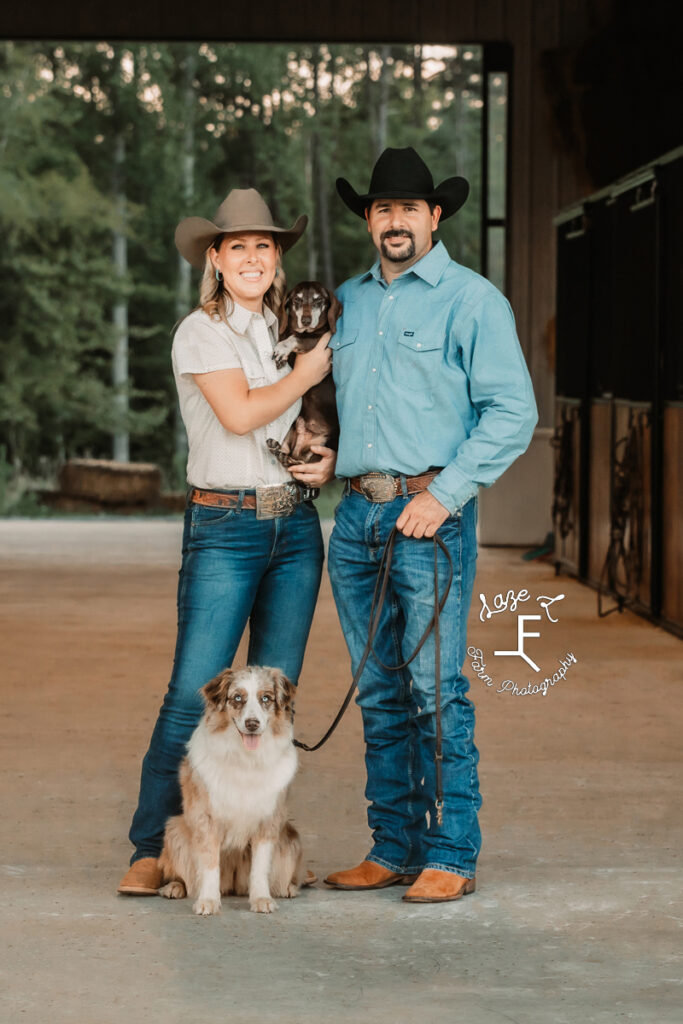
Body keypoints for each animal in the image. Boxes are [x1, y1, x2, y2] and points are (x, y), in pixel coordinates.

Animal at [158, 667, 303, 917]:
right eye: (237, 698)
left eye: (266, 698)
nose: (252, 723)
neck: (246, 759)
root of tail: (234, 886)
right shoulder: (206, 818)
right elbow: (209, 864)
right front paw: (208, 901)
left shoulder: (268, 820)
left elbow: (260, 867)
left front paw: (261, 899)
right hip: (174, 829)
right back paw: (174, 887)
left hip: (290, 839)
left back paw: (288, 888)